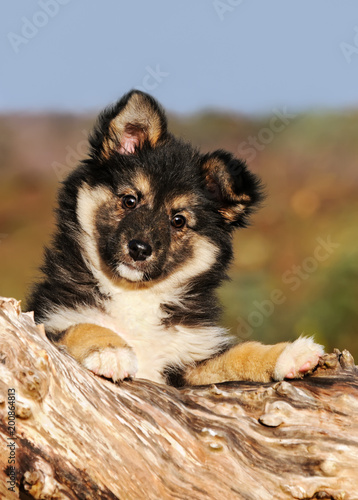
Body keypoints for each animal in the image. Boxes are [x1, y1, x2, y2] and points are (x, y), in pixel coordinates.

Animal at [28, 90, 324, 386]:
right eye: (129, 200)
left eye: (178, 220)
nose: (139, 249)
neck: (135, 294)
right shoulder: (48, 322)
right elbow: (82, 326)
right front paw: (111, 350)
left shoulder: (188, 363)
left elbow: (236, 354)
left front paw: (288, 353)